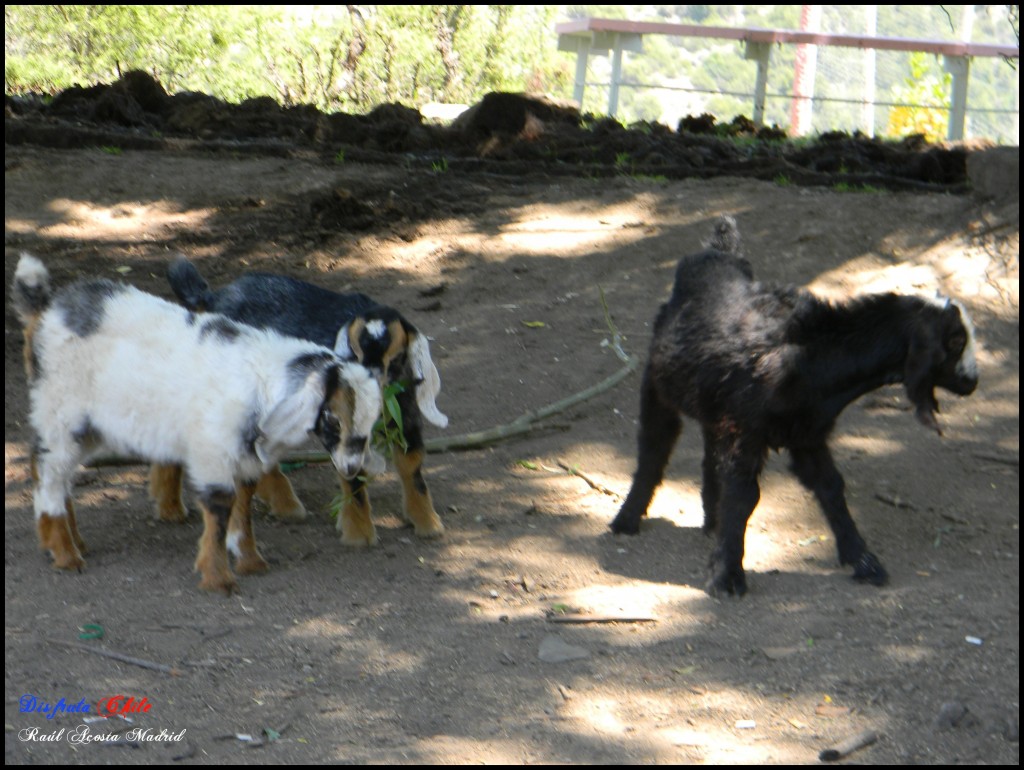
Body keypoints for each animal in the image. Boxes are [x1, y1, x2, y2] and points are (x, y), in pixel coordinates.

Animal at [610, 217, 978, 593]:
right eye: (955, 341)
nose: (972, 382)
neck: (809, 357)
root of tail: (717, 252)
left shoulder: (806, 433)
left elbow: (830, 486)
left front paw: (863, 561)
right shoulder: (746, 429)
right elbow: (745, 495)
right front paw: (727, 575)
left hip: (714, 407)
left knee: (708, 456)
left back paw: (712, 522)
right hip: (658, 386)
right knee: (654, 448)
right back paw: (626, 520)